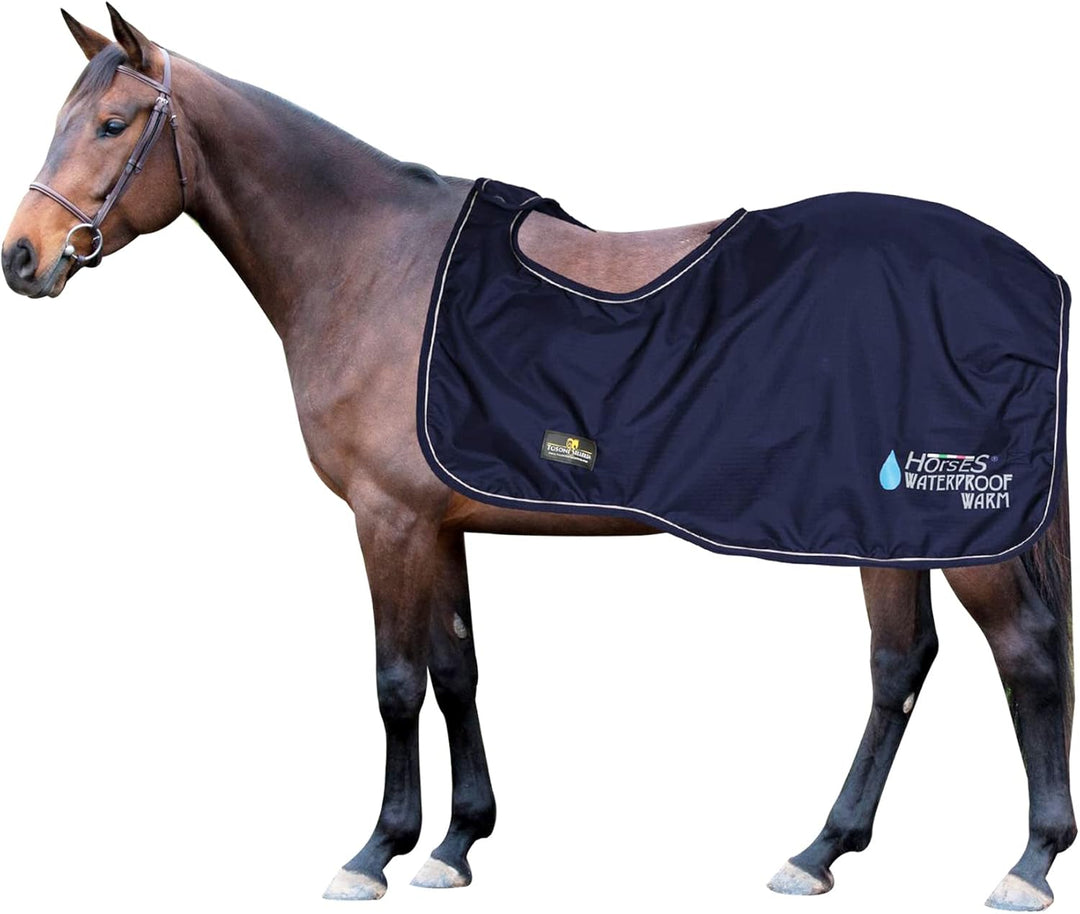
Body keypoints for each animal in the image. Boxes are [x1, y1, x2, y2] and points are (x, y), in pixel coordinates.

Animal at [2, 7, 1074, 910]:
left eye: (112, 124)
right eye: (62, 120)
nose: (23, 258)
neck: (370, 265)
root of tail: (1029, 272)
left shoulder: (386, 519)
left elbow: (395, 683)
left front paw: (375, 852)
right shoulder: (439, 523)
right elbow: (457, 669)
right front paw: (456, 843)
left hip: (955, 531)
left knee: (1021, 654)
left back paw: (1026, 863)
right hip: (885, 532)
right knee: (902, 664)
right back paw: (821, 851)